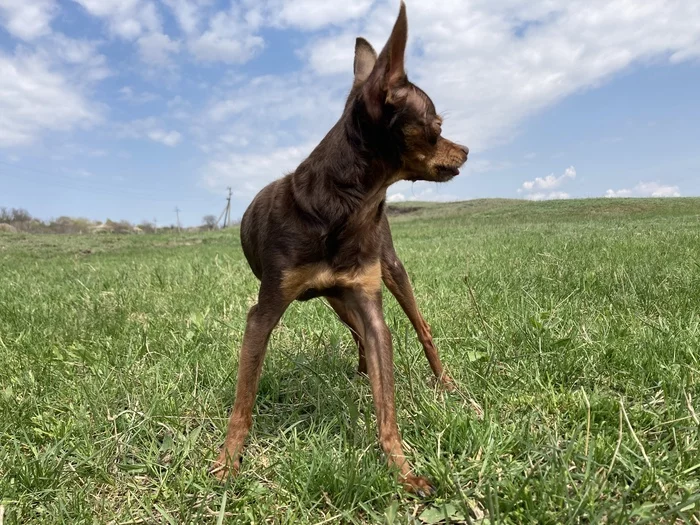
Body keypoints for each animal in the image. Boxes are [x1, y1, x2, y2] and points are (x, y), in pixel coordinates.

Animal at [211, 2, 468, 496]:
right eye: (437, 127)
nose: (465, 150)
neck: (346, 207)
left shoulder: (370, 302)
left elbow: (387, 406)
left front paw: (402, 471)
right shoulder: (264, 311)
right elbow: (243, 400)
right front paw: (230, 460)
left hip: (389, 270)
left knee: (421, 330)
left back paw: (444, 383)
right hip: (335, 299)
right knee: (355, 334)